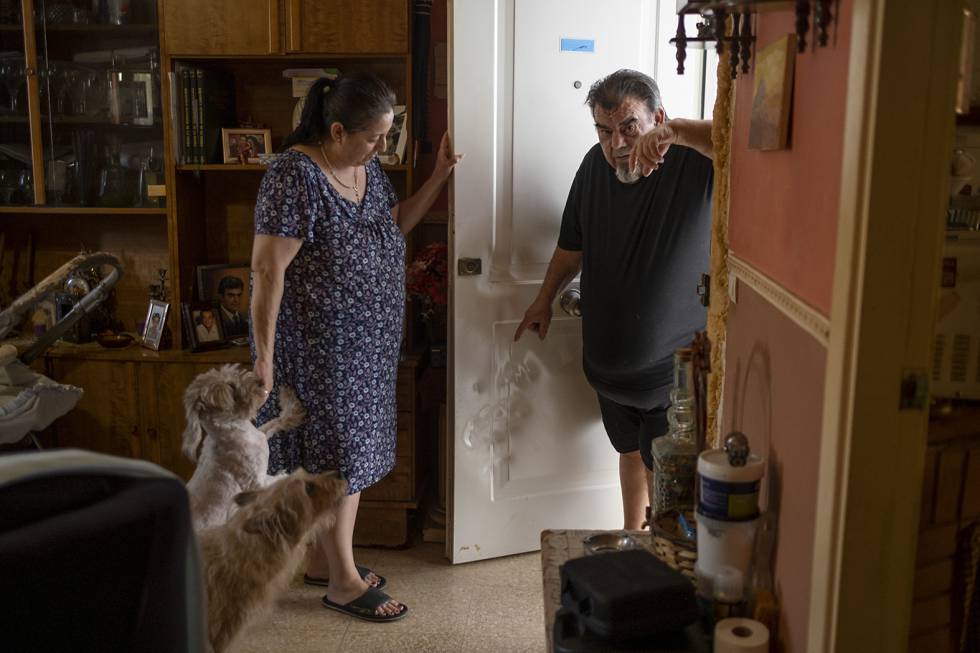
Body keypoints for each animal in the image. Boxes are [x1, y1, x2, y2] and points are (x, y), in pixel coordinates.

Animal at [182, 364, 304, 532]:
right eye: (231, 387)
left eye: (233, 371)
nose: (260, 382)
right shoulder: (255, 483)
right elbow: (280, 482)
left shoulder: (261, 435)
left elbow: (274, 423)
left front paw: (290, 404)